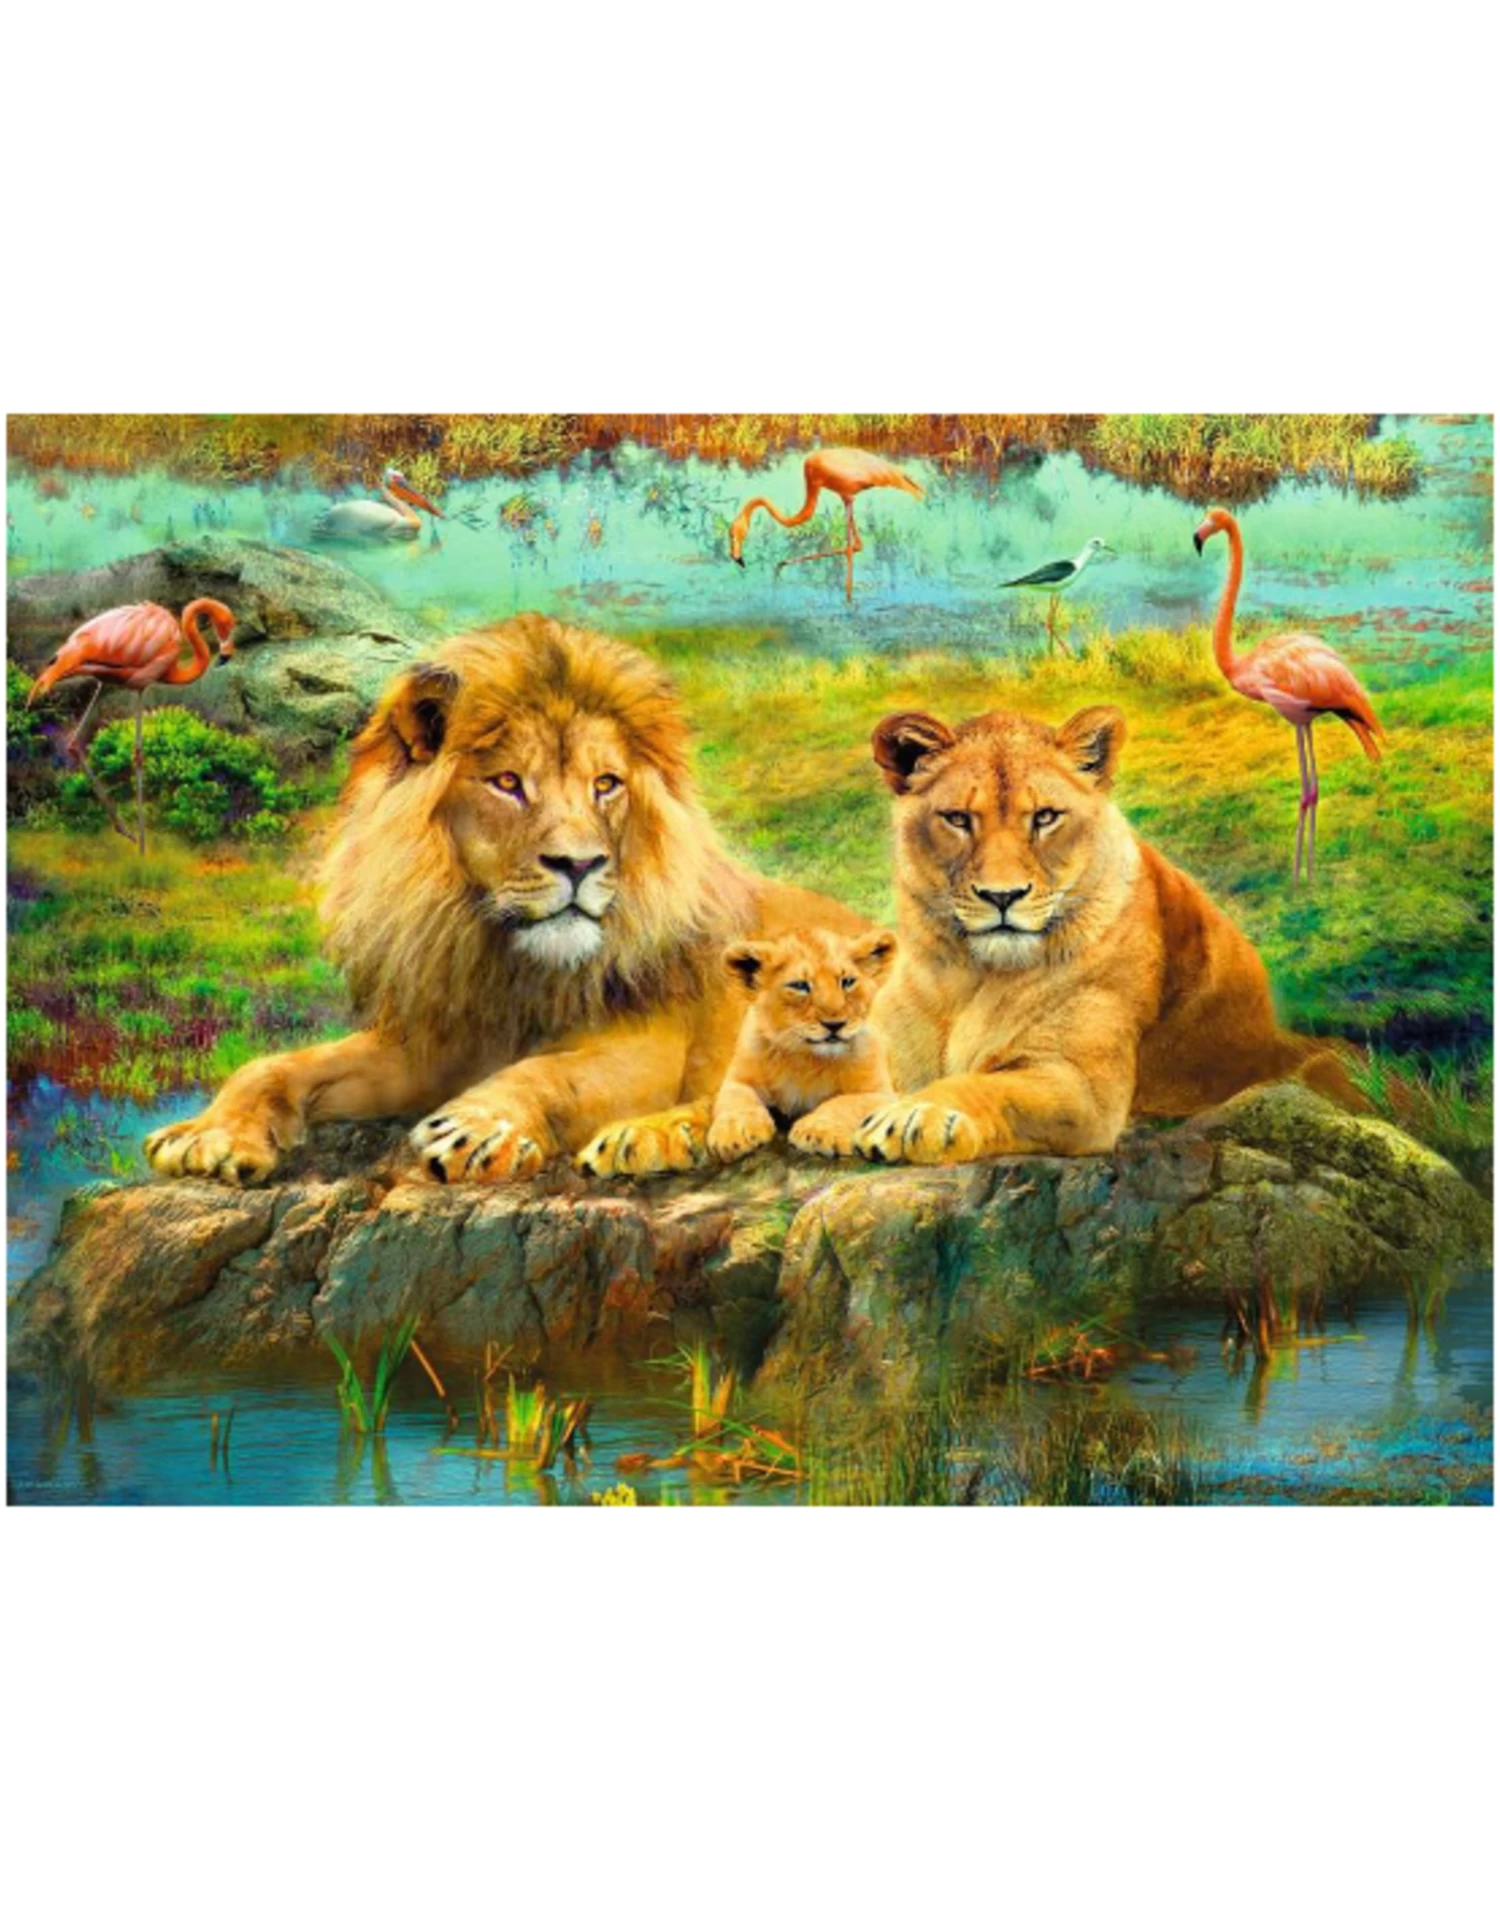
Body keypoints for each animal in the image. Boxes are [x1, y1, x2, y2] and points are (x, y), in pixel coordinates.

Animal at [144, 613, 866, 1187]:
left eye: (607, 784)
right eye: (509, 783)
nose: (580, 863)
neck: (507, 963)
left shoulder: (649, 1046)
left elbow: (549, 1073)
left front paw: (478, 1127)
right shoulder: (433, 1044)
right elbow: (276, 1064)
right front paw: (208, 1134)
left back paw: (649, 1136)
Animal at [706, 926, 898, 1164]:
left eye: (847, 982)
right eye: (800, 986)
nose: (835, 1024)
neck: (805, 1059)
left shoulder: (882, 1094)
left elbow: (844, 1103)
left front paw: (817, 1131)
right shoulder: (738, 1079)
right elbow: (737, 1100)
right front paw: (734, 1132)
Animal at [821, 699, 1359, 1168]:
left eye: (1045, 817)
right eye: (957, 819)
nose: (1002, 895)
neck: (970, 978)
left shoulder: (1081, 1088)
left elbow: (988, 1085)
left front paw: (918, 1115)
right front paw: (830, 1122)